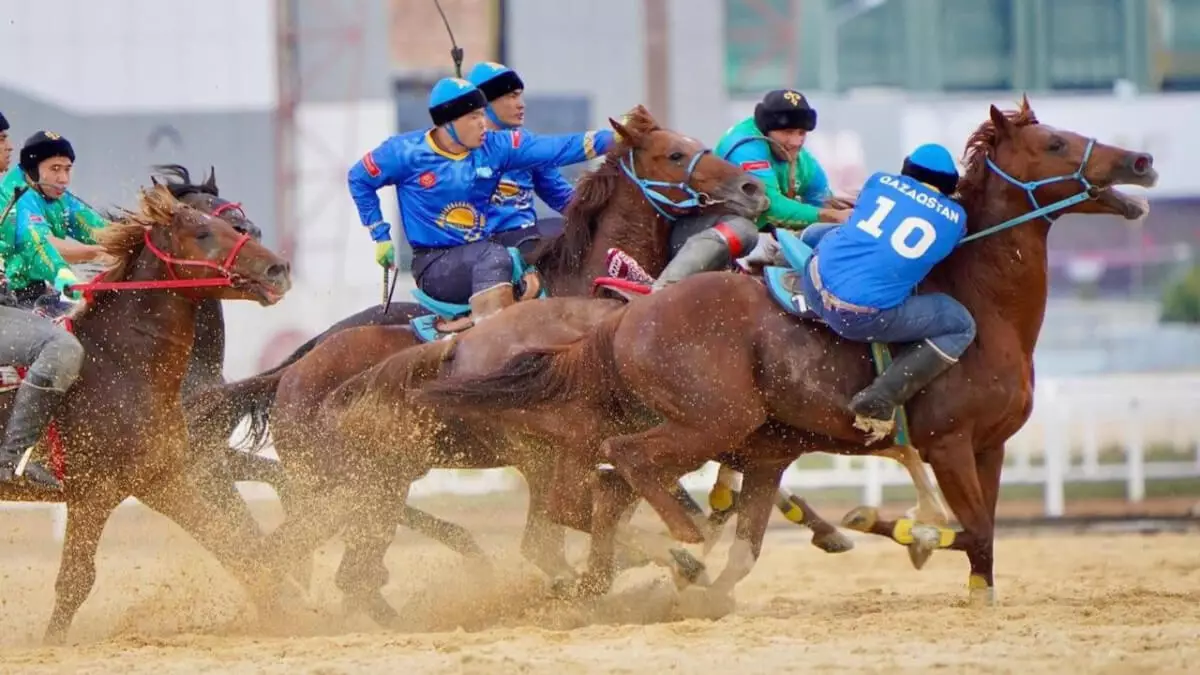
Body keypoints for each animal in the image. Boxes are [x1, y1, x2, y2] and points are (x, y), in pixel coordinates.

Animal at [1, 182, 295, 638]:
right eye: (203, 231)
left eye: (237, 224)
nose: (277, 268)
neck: (117, 364)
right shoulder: (94, 492)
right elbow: (74, 581)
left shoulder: (164, 479)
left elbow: (235, 545)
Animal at [187, 106, 859, 624]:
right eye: (674, 153)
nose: (753, 191)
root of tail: (292, 371)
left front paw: (811, 526)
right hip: (357, 483)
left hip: (364, 484)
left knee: (326, 560)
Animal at [415, 96, 1161, 598]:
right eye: (1057, 143)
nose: (1143, 160)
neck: (978, 298)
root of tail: (626, 319)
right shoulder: (948, 442)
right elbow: (971, 529)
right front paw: (901, 529)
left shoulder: (988, 446)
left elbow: (984, 540)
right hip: (699, 421)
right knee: (618, 471)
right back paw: (679, 543)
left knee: (597, 501)